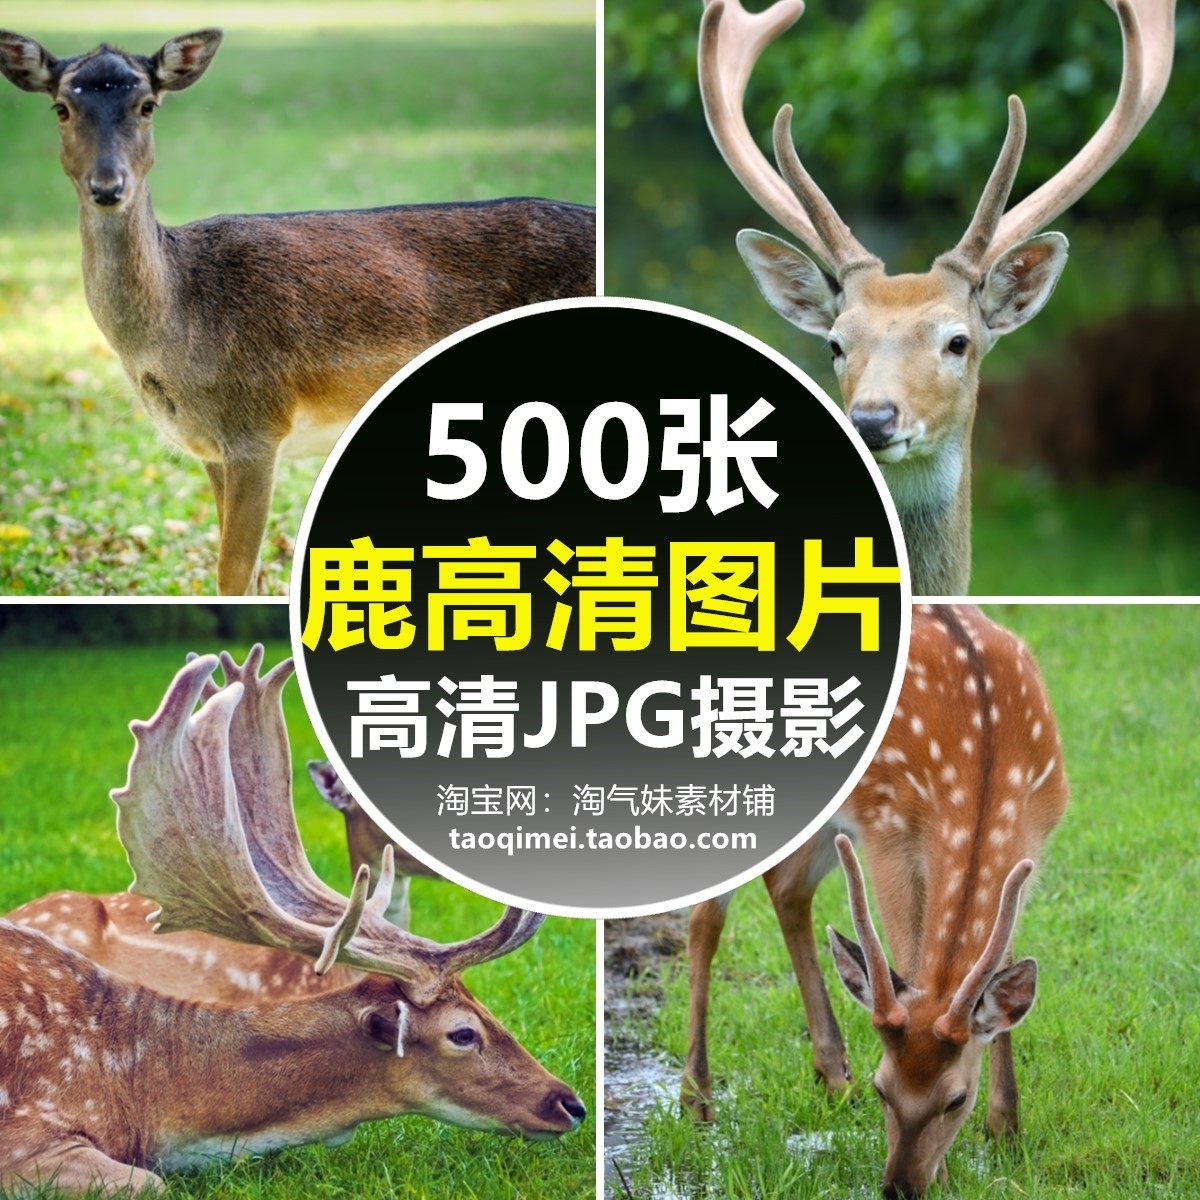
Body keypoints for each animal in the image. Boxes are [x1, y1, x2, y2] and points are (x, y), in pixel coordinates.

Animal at [0, 29, 596, 596]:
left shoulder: (256, 426)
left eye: (147, 104)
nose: (108, 186)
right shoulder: (212, 450)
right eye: (61, 107)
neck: (177, 332)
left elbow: (234, 574)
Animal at [0, 647, 585, 1197]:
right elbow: (151, 1182)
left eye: (486, 1007)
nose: (570, 1103)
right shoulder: (26, 1137)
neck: (141, 1092)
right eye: (463, 1033)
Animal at [681, 605, 1069, 1196]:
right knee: (706, 915)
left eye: (957, 1099)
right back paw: (697, 1097)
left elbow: (998, 963)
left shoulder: (1036, 839)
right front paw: (956, 1168)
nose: (900, 1185)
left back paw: (830, 1074)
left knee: (786, 887)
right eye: (883, 1086)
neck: (984, 763)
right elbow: (907, 957)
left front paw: (1006, 1130)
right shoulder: (888, 830)